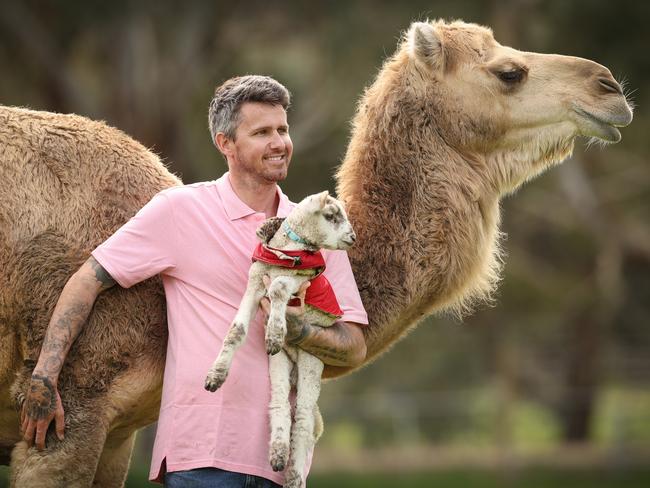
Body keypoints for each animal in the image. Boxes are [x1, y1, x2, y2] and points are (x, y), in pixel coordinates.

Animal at [202, 191, 354, 488]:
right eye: (332, 216)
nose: (353, 238)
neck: (289, 249)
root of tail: (295, 359)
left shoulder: (297, 281)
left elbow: (279, 287)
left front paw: (275, 330)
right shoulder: (254, 281)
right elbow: (236, 330)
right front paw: (216, 376)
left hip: (311, 362)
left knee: (304, 420)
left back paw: (293, 476)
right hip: (280, 362)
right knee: (280, 403)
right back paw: (278, 454)